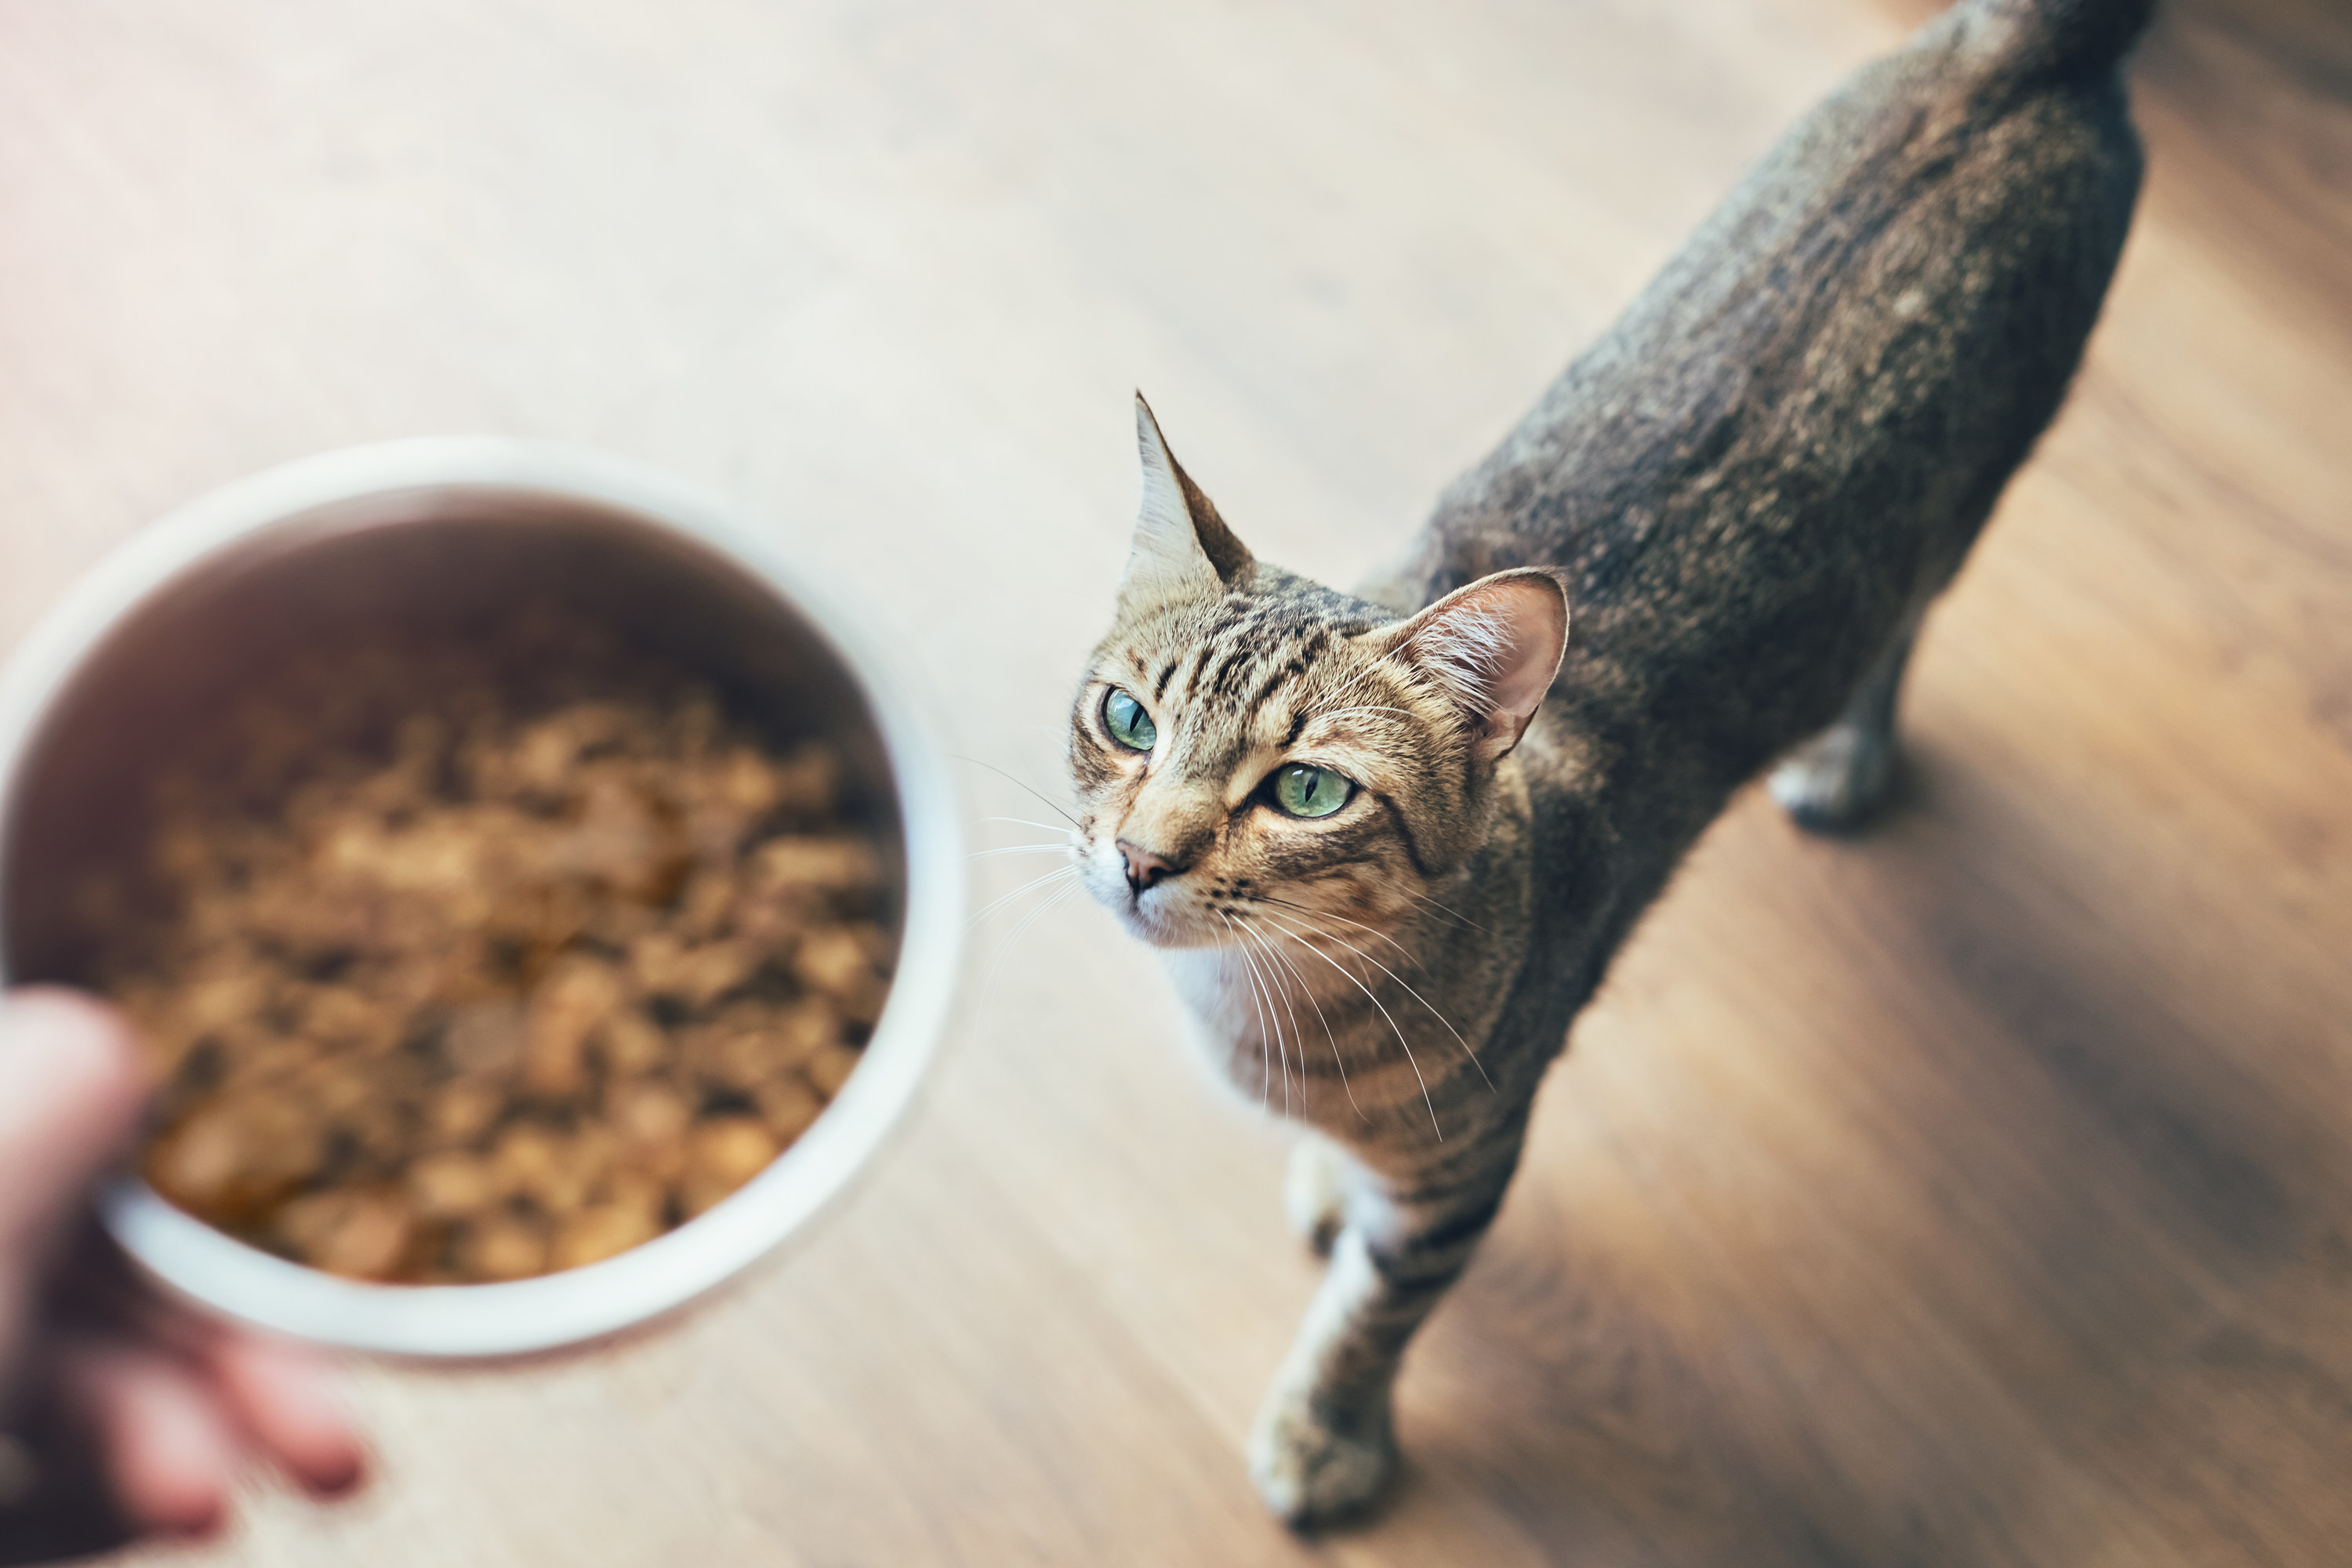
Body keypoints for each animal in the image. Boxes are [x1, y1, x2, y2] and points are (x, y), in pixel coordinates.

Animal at [1068, 0, 2154, 1523]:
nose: (1139, 855)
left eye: (1308, 790)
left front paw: (1327, 1431)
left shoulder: (1472, 1168)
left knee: (1902, 631)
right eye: (1128, 723)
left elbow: (1374, 1312)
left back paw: (1850, 756)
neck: (1269, 1008)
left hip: (1957, 514)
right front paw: (1334, 1184)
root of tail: (2024, 52)